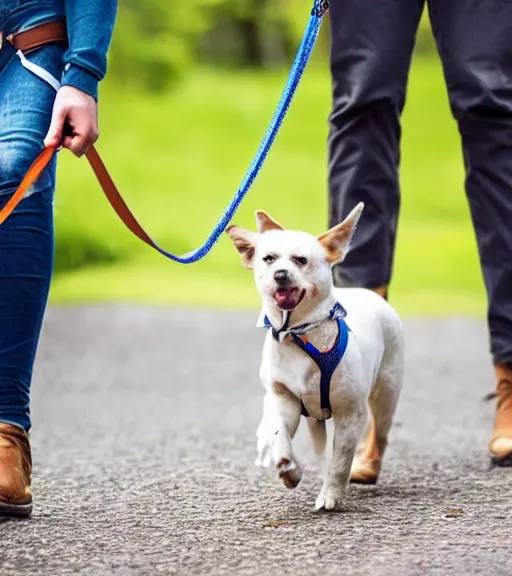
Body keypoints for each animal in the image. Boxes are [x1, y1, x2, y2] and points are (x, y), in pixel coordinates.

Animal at [227, 204, 404, 512]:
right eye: (269, 258)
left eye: (301, 260)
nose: (280, 274)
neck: (298, 334)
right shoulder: (283, 398)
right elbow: (280, 434)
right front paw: (289, 467)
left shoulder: (349, 413)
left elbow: (340, 461)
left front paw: (330, 495)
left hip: (386, 394)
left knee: (379, 435)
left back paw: (367, 465)